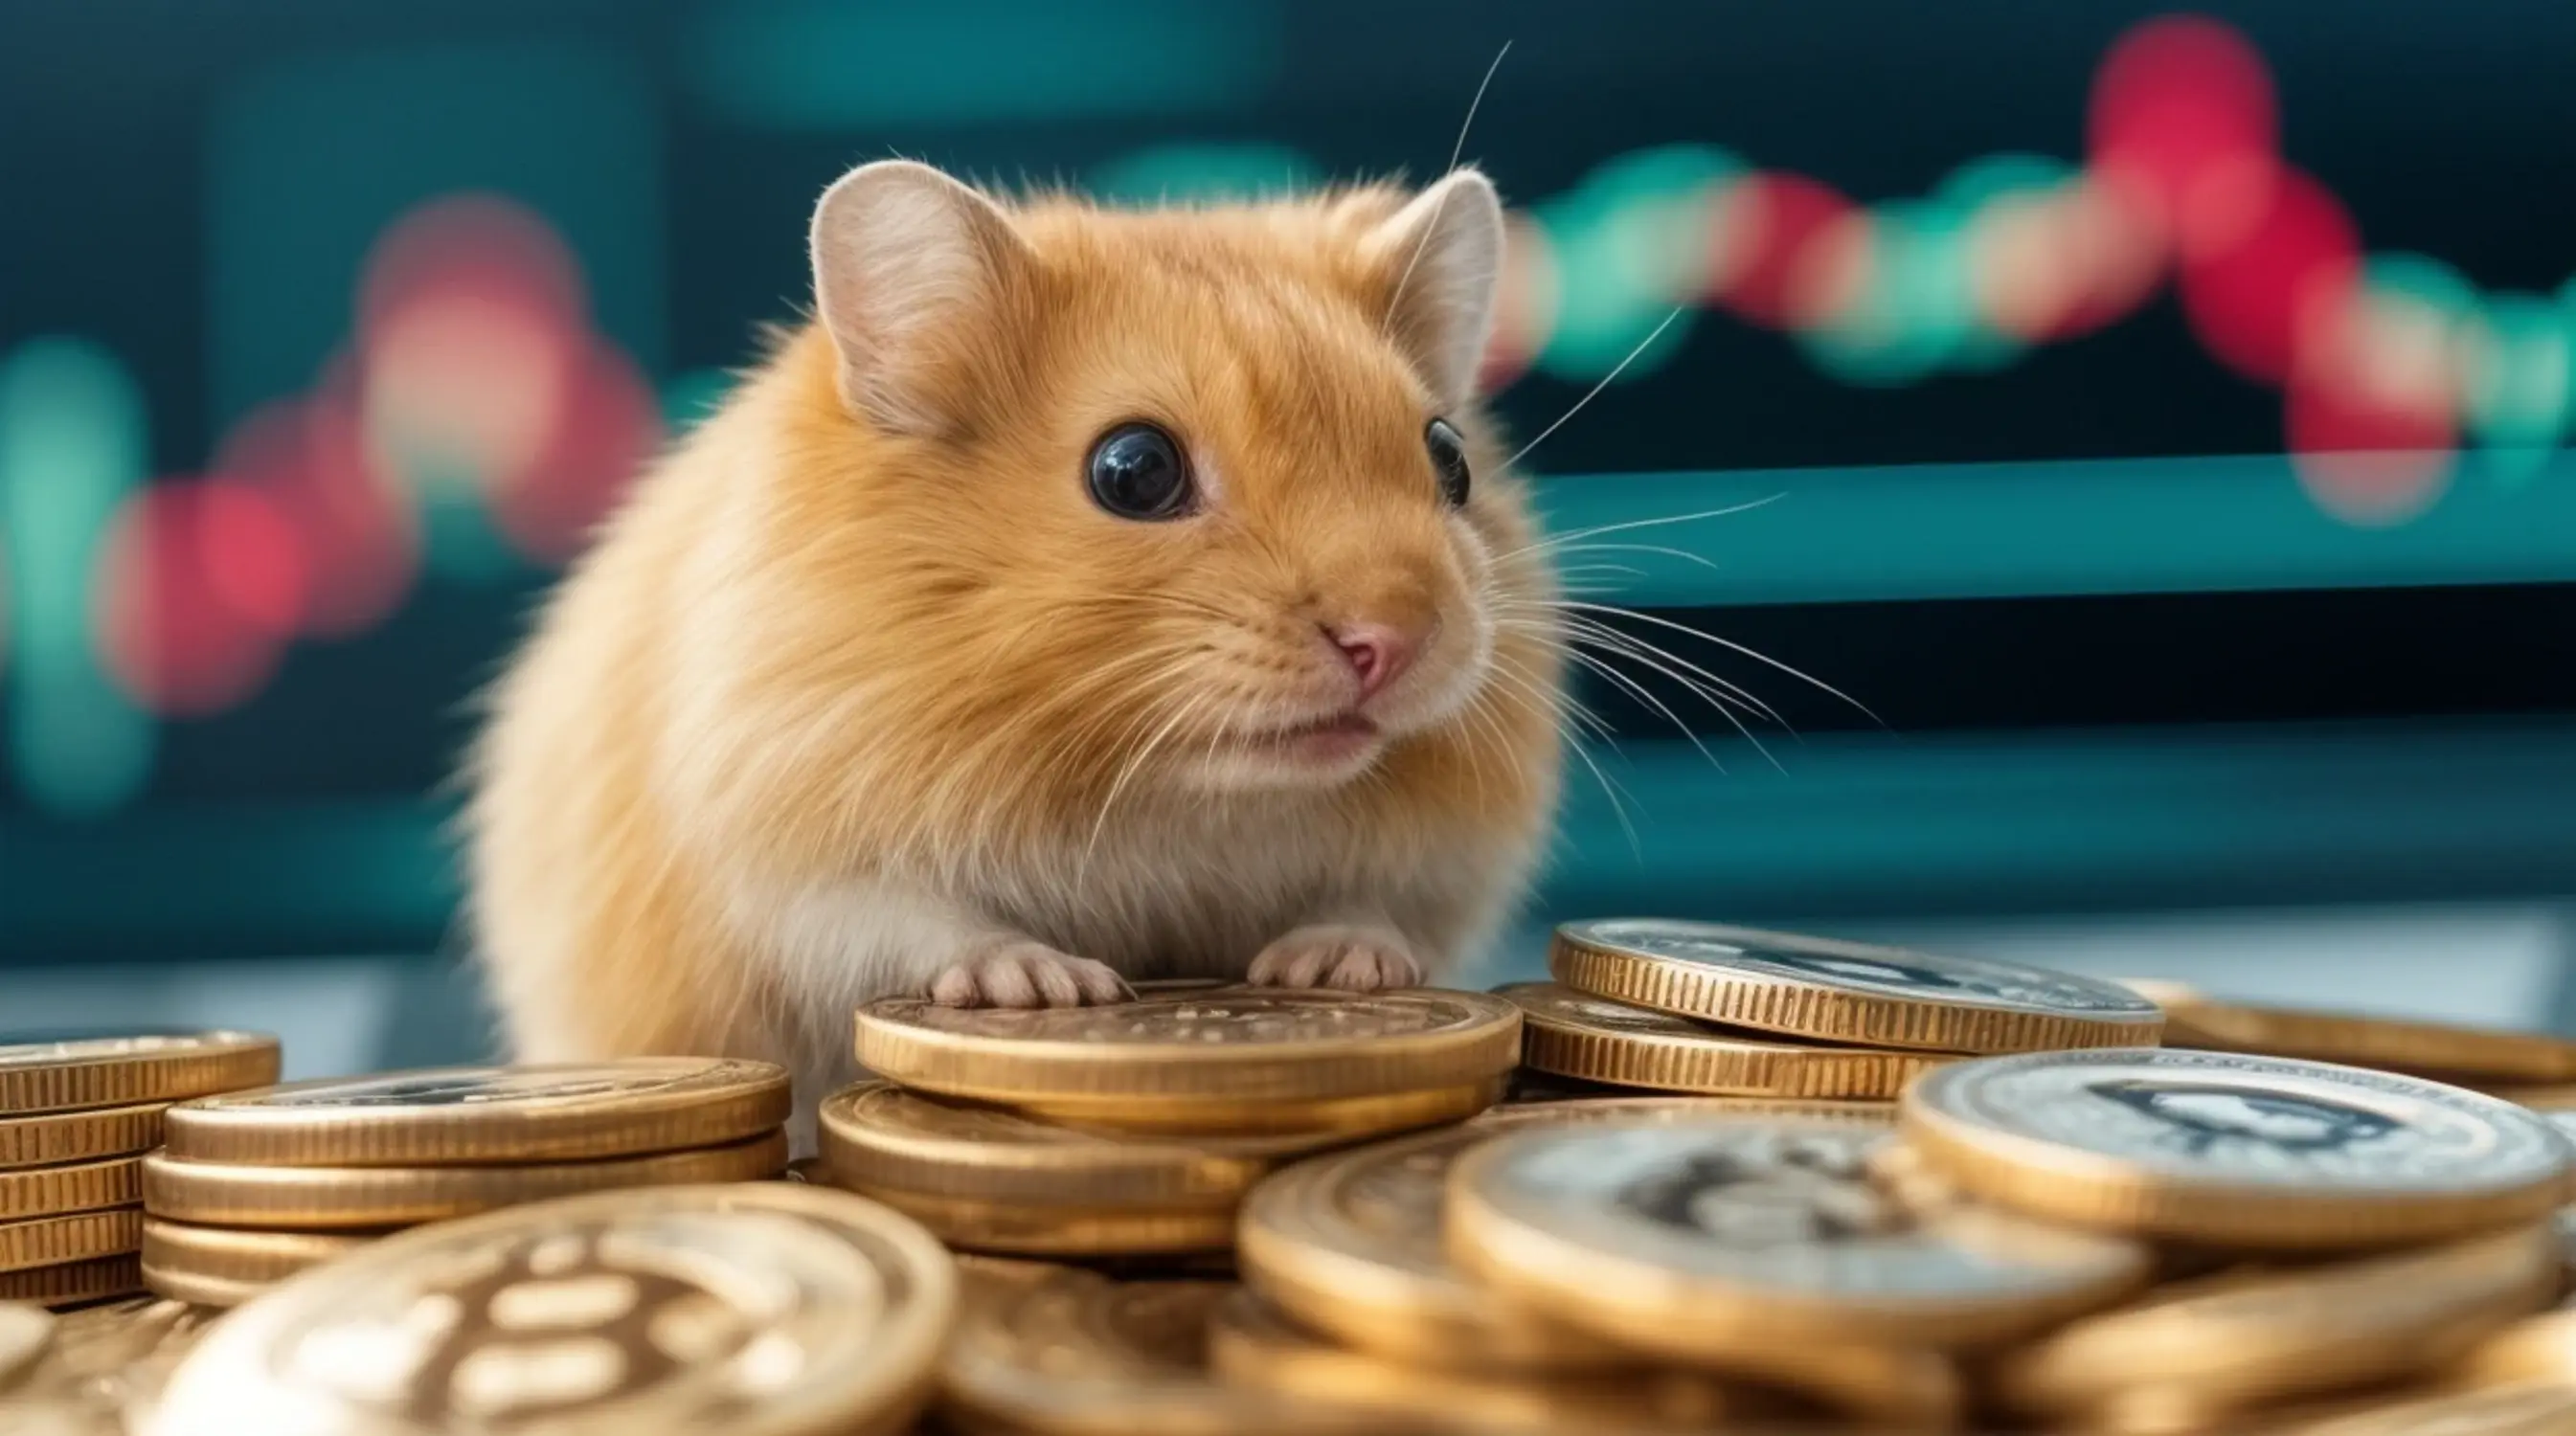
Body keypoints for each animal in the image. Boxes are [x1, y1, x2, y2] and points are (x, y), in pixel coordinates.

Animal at [464, 160, 1568, 1145]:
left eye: (1449, 457)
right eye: (1135, 470)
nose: (1397, 641)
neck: (1171, 788)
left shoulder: (1446, 863)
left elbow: (1382, 907)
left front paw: (1330, 971)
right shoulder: (784, 851)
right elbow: (909, 918)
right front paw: (1048, 985)